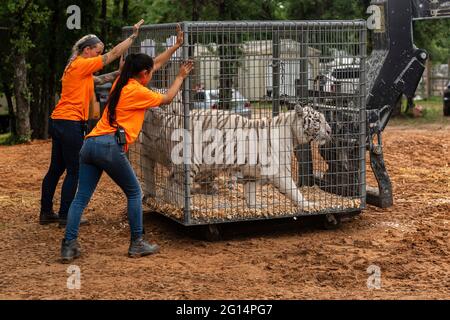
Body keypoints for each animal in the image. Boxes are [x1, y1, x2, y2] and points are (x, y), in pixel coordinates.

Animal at [142, 104, 332, 210]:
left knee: (168, 183)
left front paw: (254, 206)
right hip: (189, 163)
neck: (292, 134)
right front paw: (307, 204)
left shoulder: (251, 172)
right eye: (317, 121)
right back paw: (185, 206)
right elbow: (293, 190)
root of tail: (171, 118)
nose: (330, 130)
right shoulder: (279, 171)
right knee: (176, 185)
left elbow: (250, 190)